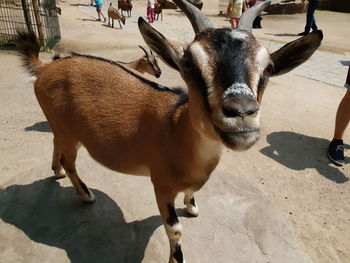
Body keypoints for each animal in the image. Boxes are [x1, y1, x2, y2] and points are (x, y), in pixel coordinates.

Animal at [15, 1, 322, 262]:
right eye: (188, 64)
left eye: (268, 68)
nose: (242, 112)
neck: (176, 127)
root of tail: (45, 68)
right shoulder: (161, 184)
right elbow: (174, 229)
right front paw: (177, 256)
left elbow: (192, 194)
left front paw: (193, 207)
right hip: (68, 132)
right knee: (70, 159)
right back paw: (85, 194)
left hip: (62, 129)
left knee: (57, 147)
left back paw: (57, 172)